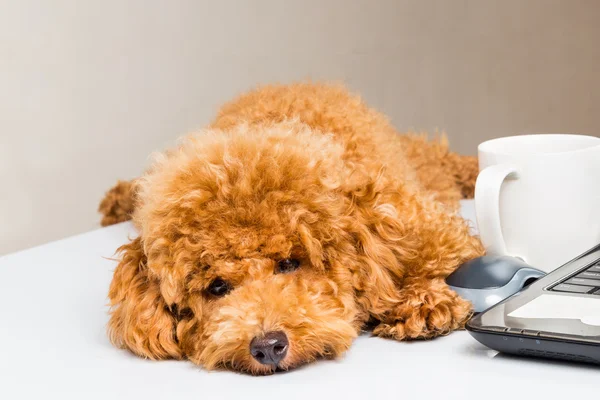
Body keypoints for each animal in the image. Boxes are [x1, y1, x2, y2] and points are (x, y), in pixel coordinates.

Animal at [104, 83, 482, 374]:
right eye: (217, 287)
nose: (268, 346)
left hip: (427, 166)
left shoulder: (417, 221)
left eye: (288, 263)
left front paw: (423, 300)